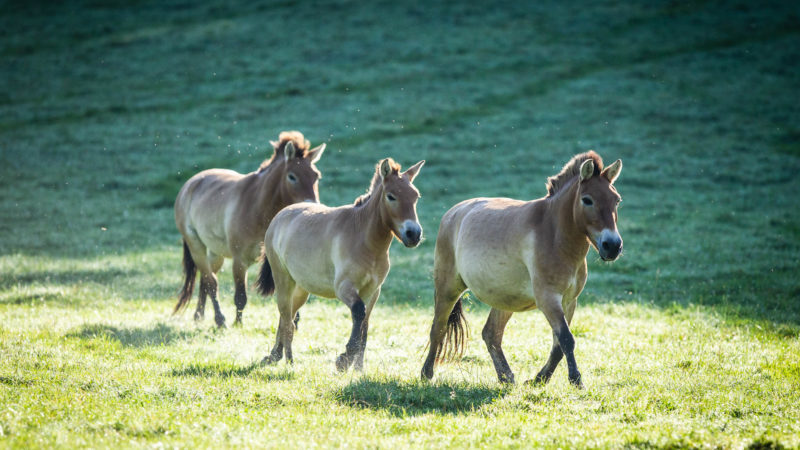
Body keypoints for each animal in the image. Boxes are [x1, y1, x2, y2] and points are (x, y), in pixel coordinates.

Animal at [174, 130, 324, 326]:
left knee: (205, 280)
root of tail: (190, 184)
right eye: (292, 176)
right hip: (196, 246)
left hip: (215, 253)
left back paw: (199, 315)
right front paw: (238, 324)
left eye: (316, 176)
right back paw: (219, 320)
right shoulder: (240, 261)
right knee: (211, 281)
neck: (258, 206)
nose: (312, 205)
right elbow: (240, 297)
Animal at [260, 158, 428, 372]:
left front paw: (359, 369)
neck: (364, 239)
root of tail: (279, 217)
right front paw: (344, 360)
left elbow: (365, 326)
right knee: (287, 319)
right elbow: (358, 312)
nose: (413, 234)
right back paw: (289, 362)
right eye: (391, 196)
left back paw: (275, 356)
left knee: (286, 317)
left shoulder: (373, 292)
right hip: (283, 281)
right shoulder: (344, 288)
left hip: (301, 289)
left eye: (416, 196)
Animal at [422, 151, 620, 386]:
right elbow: (566, 339)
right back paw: (427, 374)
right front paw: (576, 380)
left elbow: (559, 345)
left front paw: (539, 380)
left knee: (491, 333)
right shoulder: (548, 299)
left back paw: (506, 377)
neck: (554, 235)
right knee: (438, 328)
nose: (613, 246)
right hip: (448, 288)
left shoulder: (569, 301)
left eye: (616, 200)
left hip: (505, 299)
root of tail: (453, 213)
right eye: (587, 200)